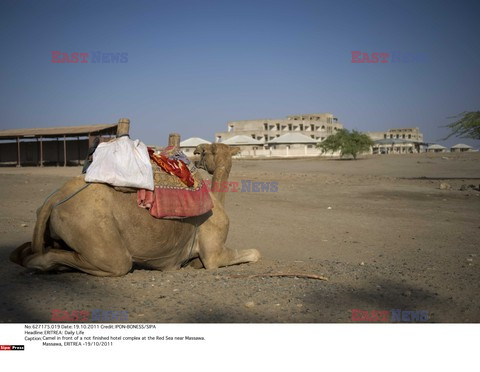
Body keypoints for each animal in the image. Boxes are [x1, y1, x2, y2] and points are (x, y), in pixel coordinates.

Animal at [9, 142, 260, 276]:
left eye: (206, 152)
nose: (197, 154)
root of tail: (54, 199)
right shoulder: (213, 252)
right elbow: (254, 254)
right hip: (93, 229)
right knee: (117, 263)